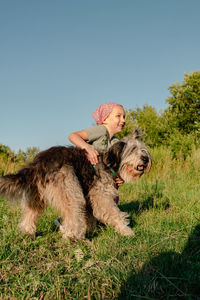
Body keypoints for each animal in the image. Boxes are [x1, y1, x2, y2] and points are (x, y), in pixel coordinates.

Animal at [0, 137, 152, 240]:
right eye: (133, 150)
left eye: (144, 150)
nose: (146, 159)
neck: (109, 163)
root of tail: (37, 163)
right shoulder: (101, 196)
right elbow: (114, 213)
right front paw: (126, 230)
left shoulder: (90, 196)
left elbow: (90, 217)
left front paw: (92, 230)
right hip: (70, 190)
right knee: (73, 211)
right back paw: (73, 237)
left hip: (36, 196)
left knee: (30, 213)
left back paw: (27, 232)